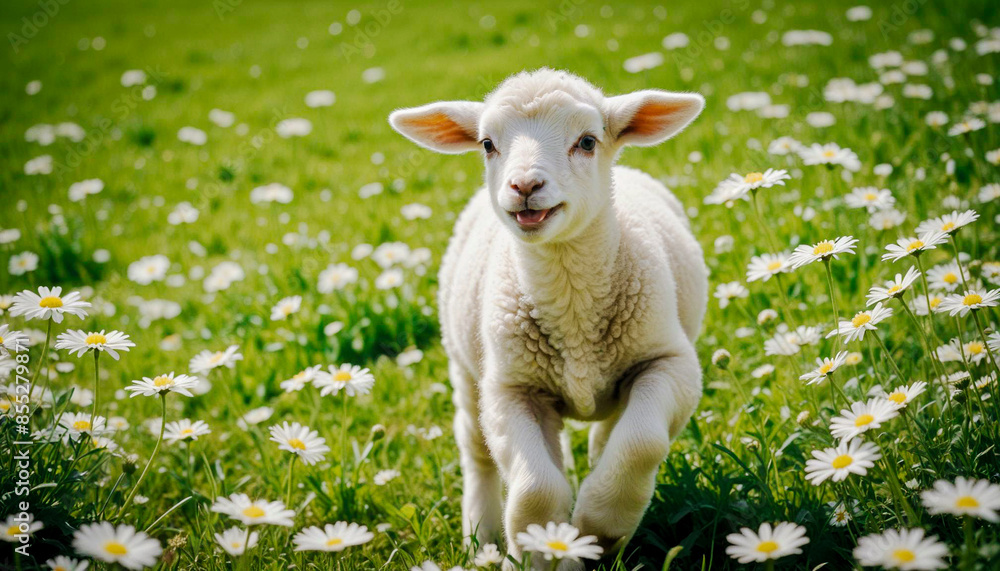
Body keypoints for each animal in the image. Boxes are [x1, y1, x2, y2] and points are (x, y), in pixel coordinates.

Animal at [389, 68, 707, 567]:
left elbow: (641, 443)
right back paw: (481, 537)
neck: (572, 302)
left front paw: (599, 525)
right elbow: (536, 488)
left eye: (588, 141)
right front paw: (545, 547)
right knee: (477, 452)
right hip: (465, 368)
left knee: (611, 430)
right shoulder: (511, 389)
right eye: (487, 144)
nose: (524, 187)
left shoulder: (669, 363)